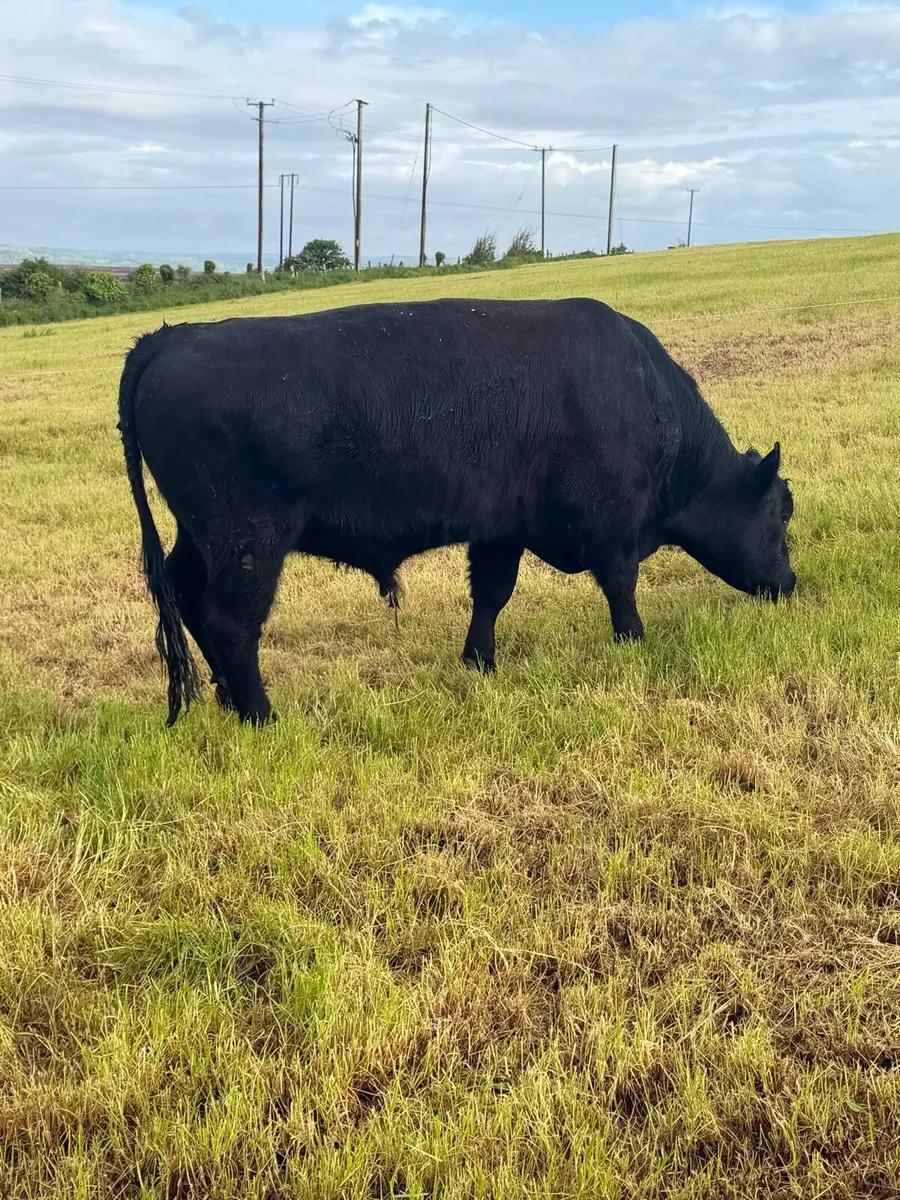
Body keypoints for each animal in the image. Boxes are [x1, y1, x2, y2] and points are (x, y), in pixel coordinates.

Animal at [118, 297, 796, 726]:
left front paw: (479, 663)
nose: (790, 583)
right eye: (782, 513)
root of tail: (171, 336)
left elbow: (491, 593)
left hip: (201, 536)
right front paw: (633, 644)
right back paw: (259, 715)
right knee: (230, 621)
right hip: (248, 539)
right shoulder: (613, 525)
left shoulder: (501, 527)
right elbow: (622, 587)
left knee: (187, 597)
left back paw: (227, 701)